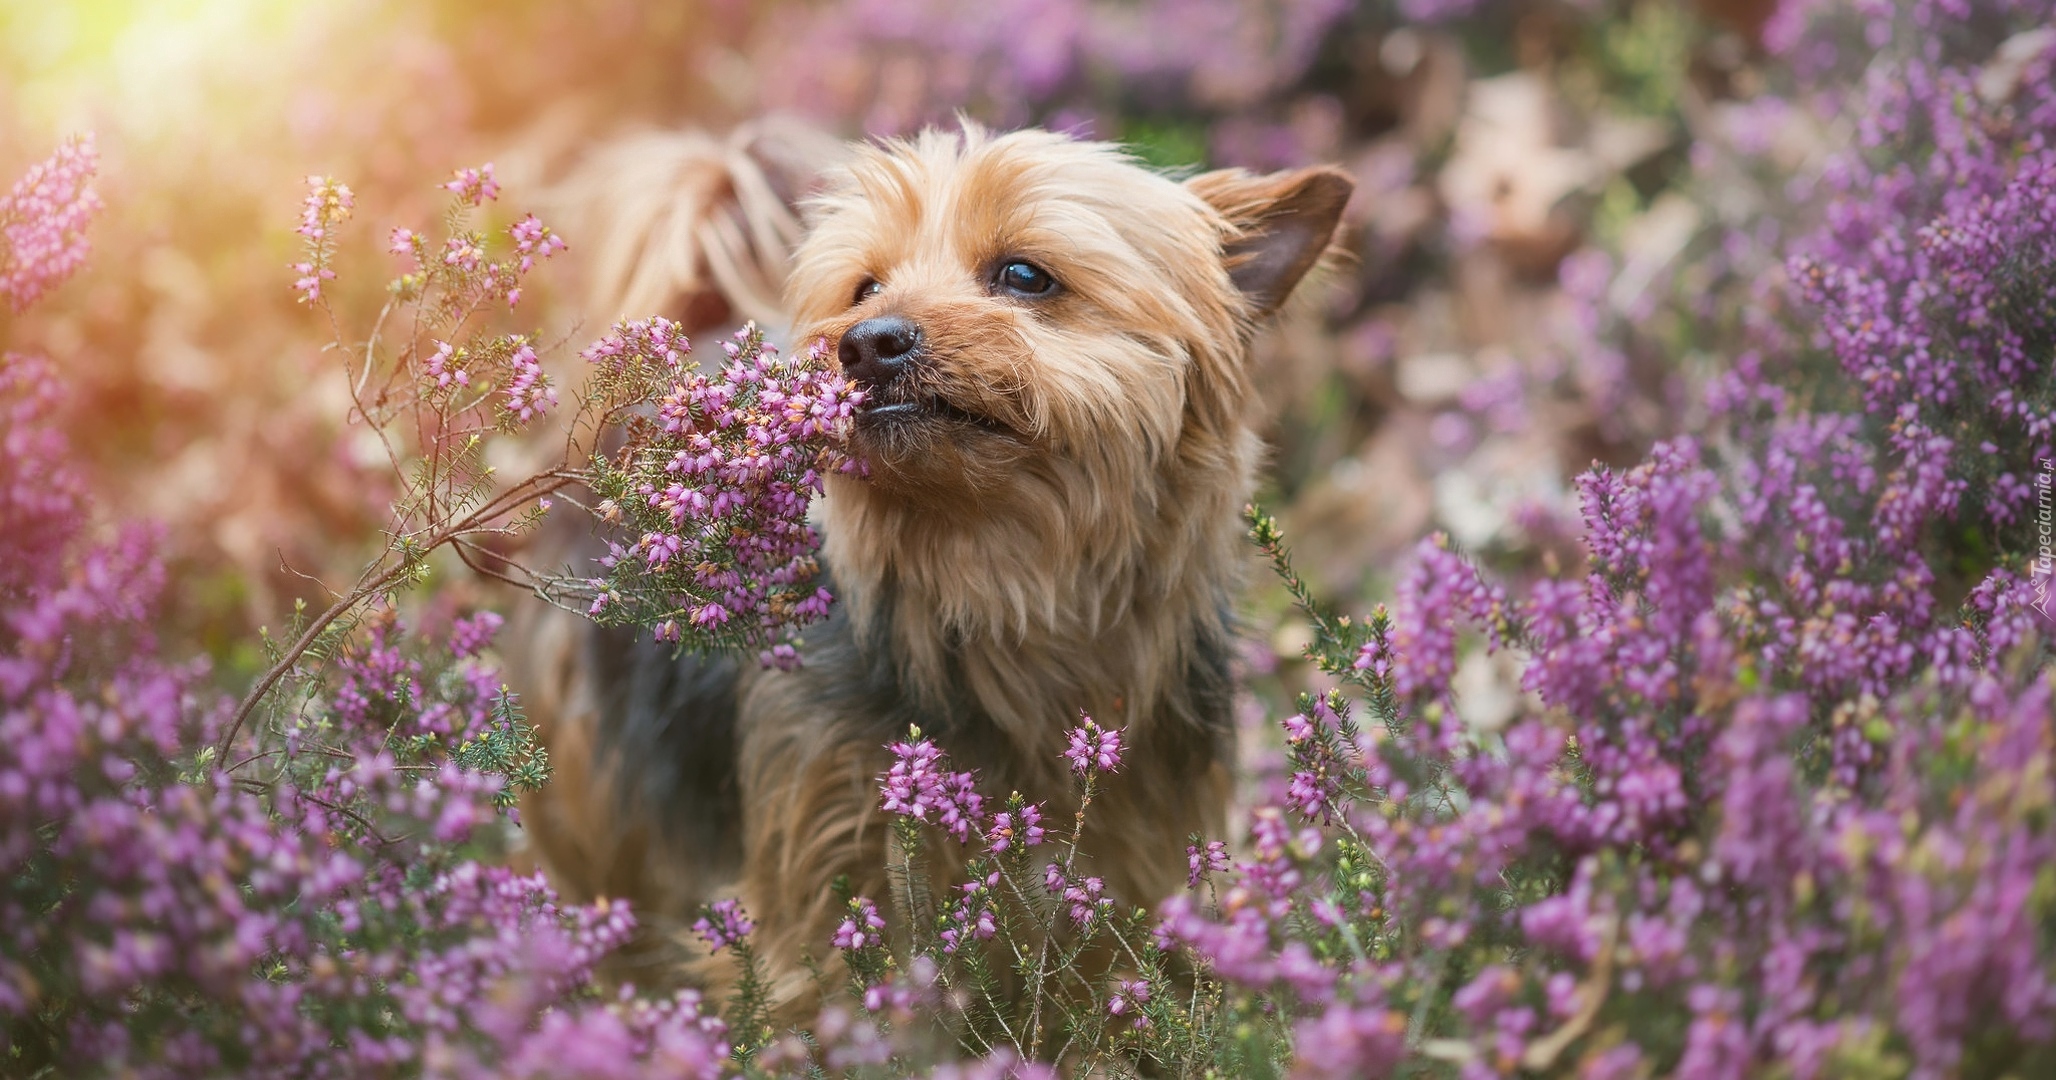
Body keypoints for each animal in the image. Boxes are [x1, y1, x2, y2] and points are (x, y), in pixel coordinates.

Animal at [509, 124, 1348, 1012]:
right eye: (865, 286)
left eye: (1024, 275)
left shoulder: (1132, 860)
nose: (867, 340)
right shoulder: (823, 885)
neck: (1005, 582)